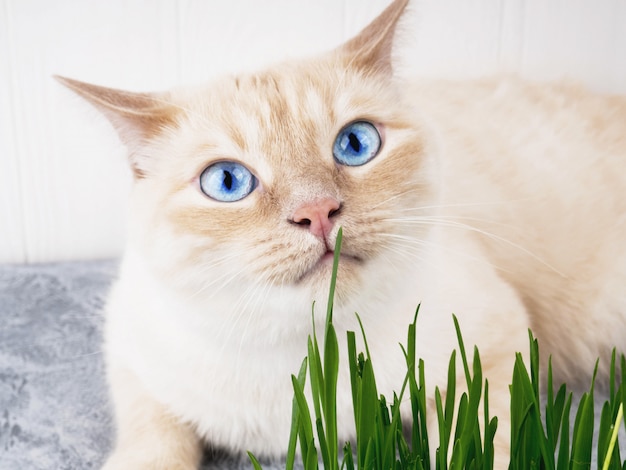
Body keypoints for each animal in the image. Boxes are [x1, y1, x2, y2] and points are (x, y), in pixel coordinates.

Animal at [57, 0, 624, 468]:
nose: (318, 212)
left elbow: (480, 443)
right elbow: (154, 442)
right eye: (227, 182)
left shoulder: (498, 355)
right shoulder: (132, 356)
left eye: (355, 144)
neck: (313, 358)